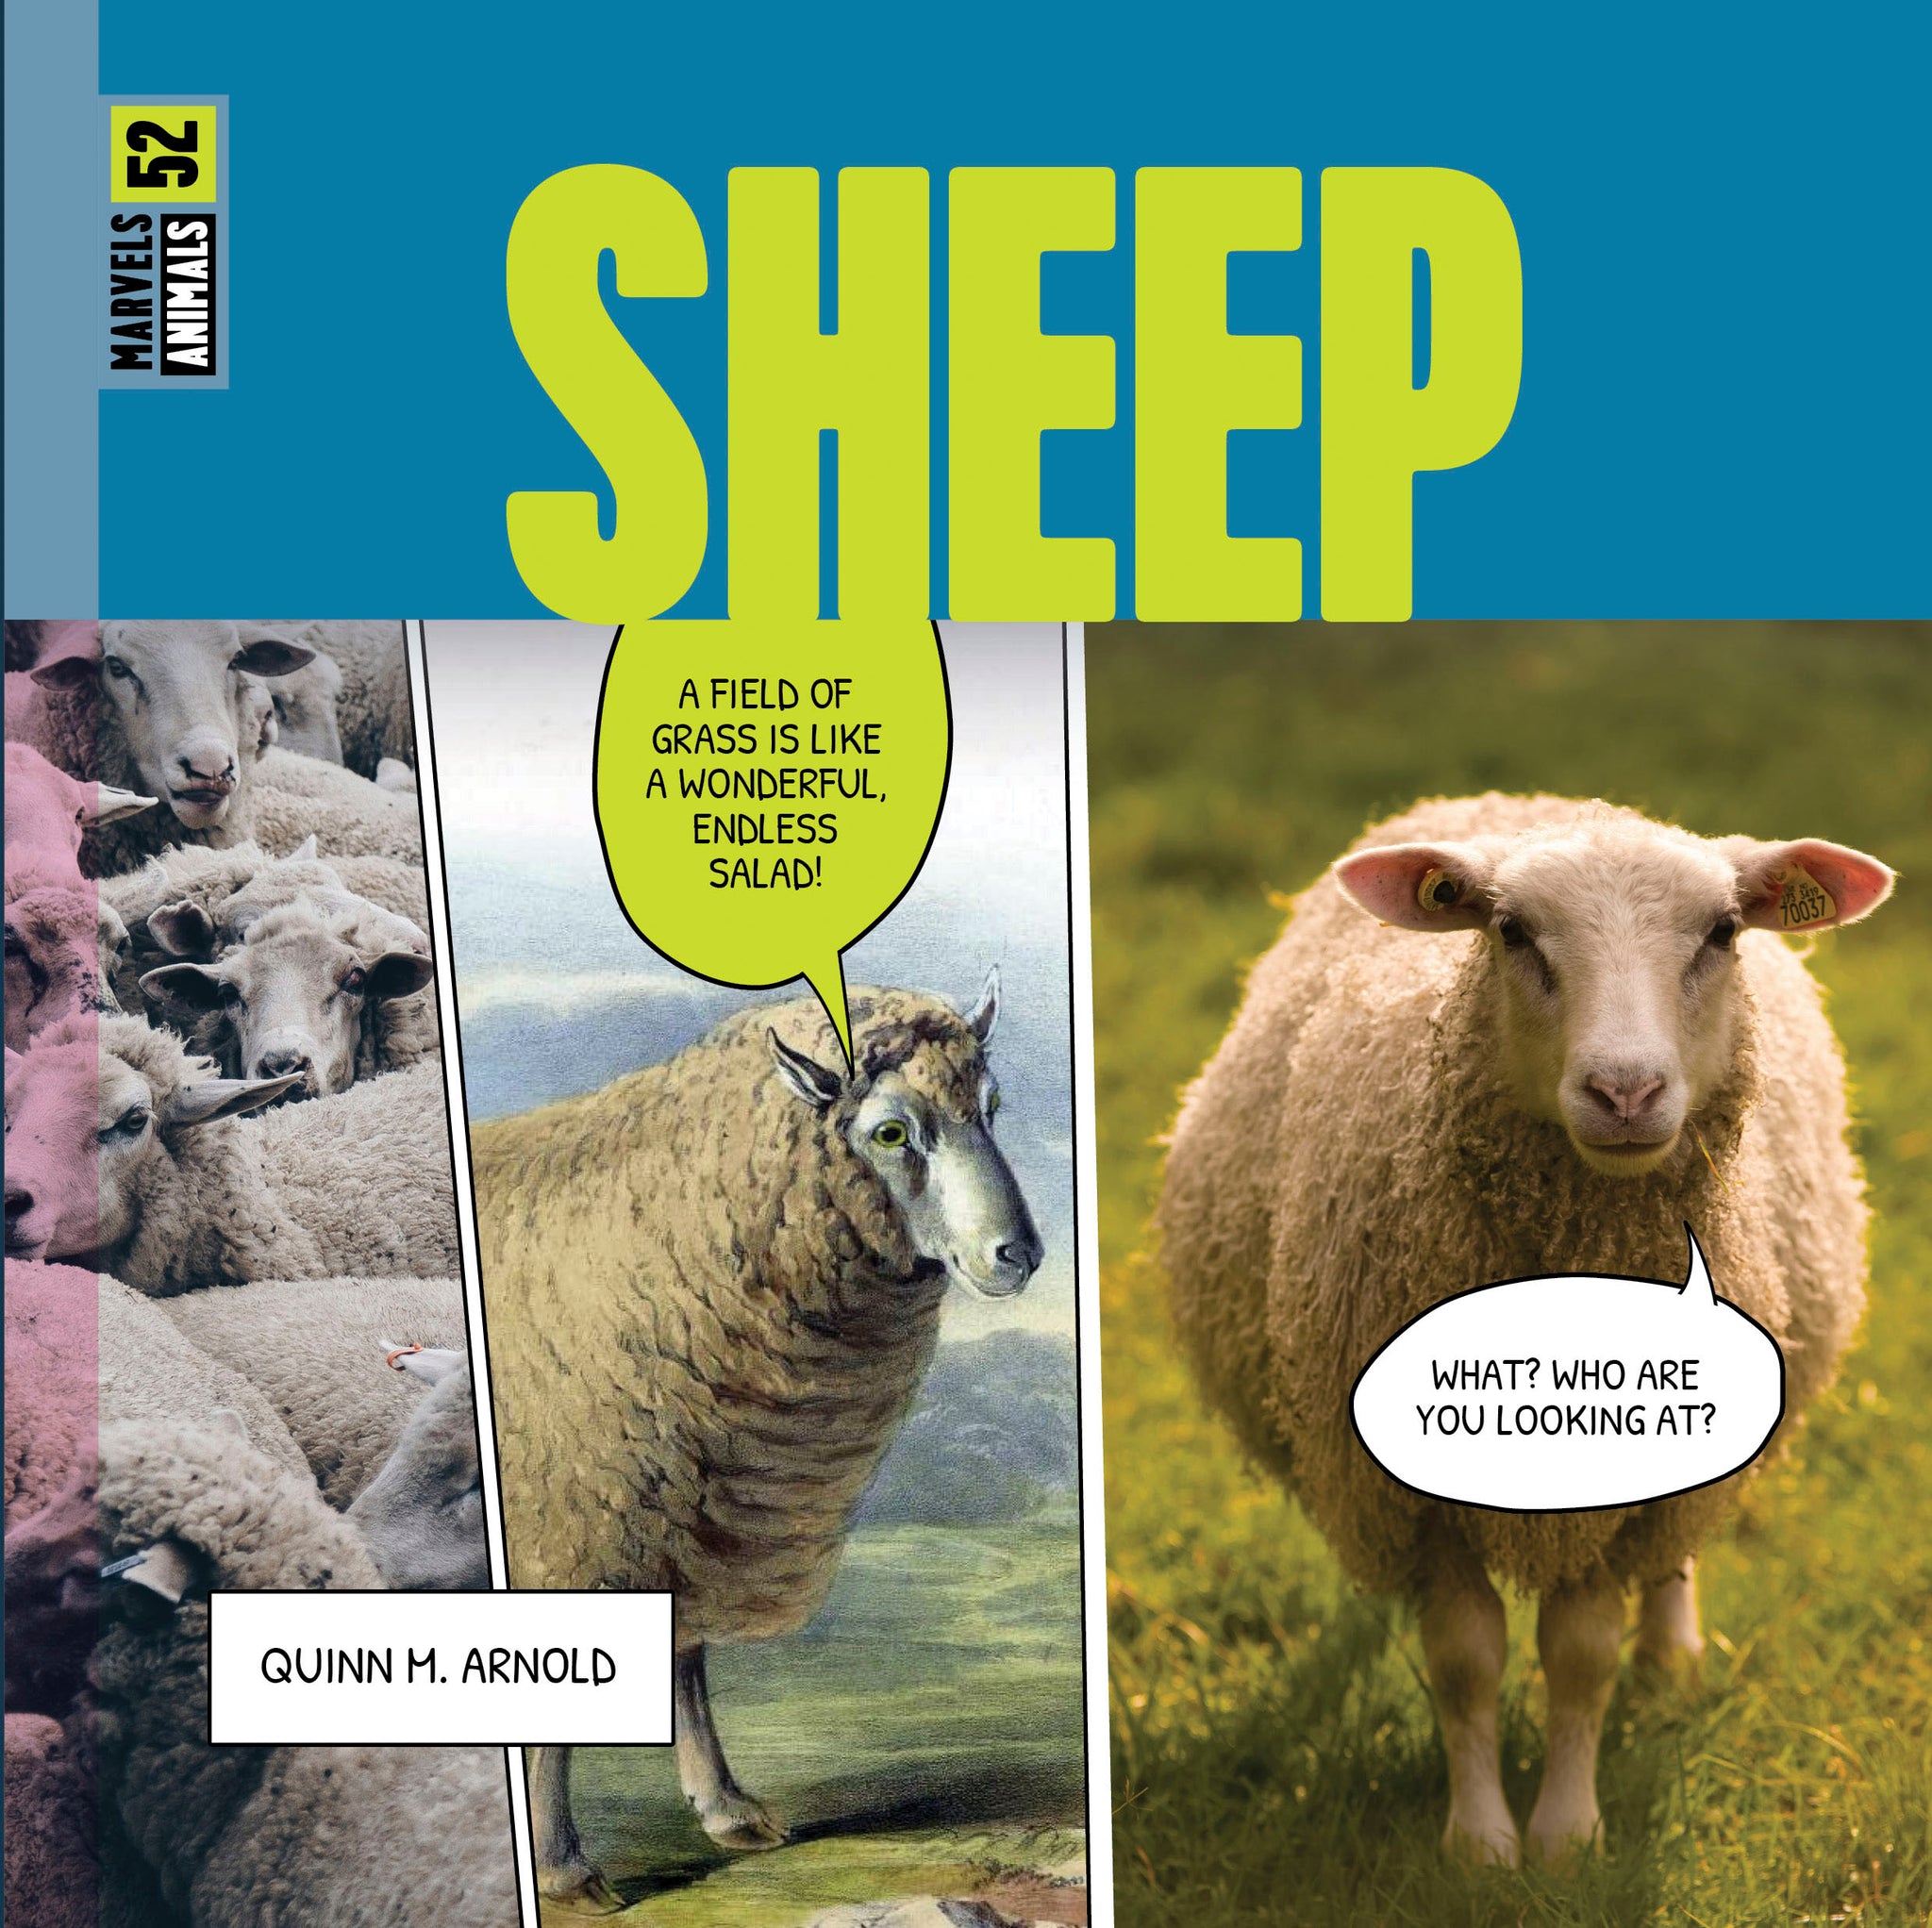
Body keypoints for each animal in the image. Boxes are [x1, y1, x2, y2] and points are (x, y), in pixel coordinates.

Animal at [472, 975, 1044, 1906]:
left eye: (990, 1107)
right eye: (891, 1132)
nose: (1018, 1255)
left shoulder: (686, 1491)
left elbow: (686, 1659)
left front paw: (727, 1809)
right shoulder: (575, 1512)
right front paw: (561, 1869)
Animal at [1157, 793, 1897, 1867]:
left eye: (1722, 932)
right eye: (1509, 932)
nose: (1624, 1092)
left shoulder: (1624, 1492)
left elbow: (1580, 1655)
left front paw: (1566, 1835)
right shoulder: (1406, 1489)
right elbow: (1465, 1659)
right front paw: (1480, 1843)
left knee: (1669, 1561)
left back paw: (1670, 1654)